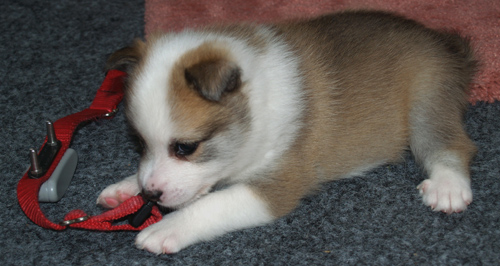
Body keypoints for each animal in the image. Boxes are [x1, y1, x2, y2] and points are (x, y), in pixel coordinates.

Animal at [96, 11, 476, 255]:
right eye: (139, 142)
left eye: (186, 147)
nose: (151, 195)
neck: (258, 104)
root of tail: (448, 45)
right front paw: (125, 189)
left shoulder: (278, 185)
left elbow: (212, 204)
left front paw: (164, 228)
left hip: (428, 99)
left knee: (450, 143)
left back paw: (448, 187)